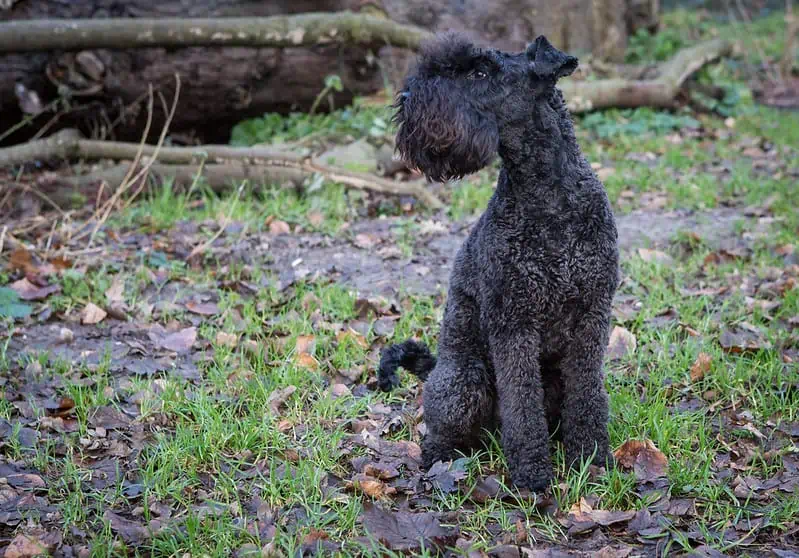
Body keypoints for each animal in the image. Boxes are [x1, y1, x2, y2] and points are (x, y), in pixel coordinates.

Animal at [378, 32, 620, 492]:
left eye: (479, 72)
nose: (407, 97)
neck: (549, 199)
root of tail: (435, 369)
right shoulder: (514, 323)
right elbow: (522, 405)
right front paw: (532, 475)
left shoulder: (592, 315)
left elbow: (587, 395)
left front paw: (592, 458)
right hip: (465, 381)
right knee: (440, 432)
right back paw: (442, 461)